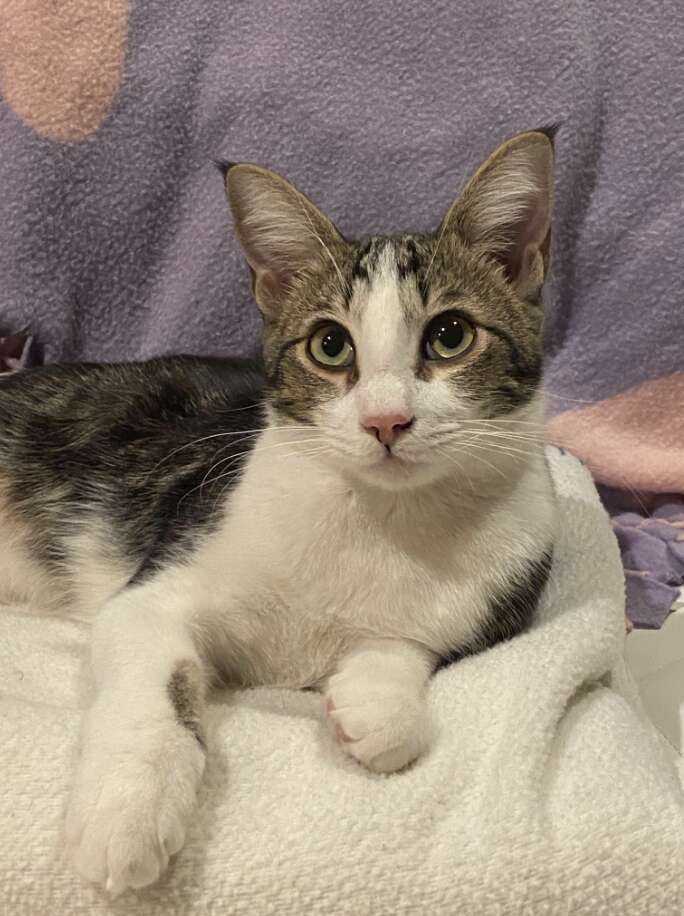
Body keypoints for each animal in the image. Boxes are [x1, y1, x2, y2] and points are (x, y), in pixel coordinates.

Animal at [0, 125, 556, 892]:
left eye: (450, 335)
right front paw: (127, 810)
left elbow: (411, 653)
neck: (382, 517)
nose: (386, 421)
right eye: (330, 345)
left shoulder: (509, 577)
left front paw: (378, 701)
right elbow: (156, 678)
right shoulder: (160, 579)